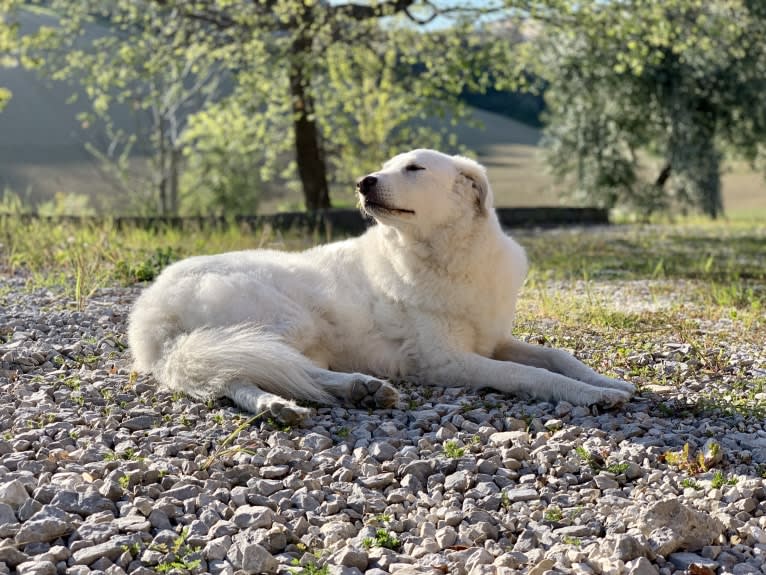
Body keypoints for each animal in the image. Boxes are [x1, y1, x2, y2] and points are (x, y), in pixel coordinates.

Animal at [129, 148, 636, 424]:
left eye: (414, 168)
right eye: (384, 167)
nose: (362, 181)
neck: (446, 257)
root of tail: (149, 309)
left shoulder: (493, 340)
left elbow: (559, 357)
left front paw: (607, 380)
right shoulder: (449, 361)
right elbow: (531, 375)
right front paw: (593, 396)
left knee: (237, 374)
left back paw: (280, 405)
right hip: (287, 321)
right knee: (275, 366)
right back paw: (356, 388)